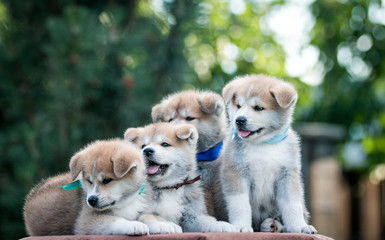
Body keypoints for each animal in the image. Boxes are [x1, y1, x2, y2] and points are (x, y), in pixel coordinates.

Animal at [24, 140, 178, 235]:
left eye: (107, 180)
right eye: (89, 181)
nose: (91, 200)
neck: (125, 203)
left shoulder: (143, 208)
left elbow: (147, 215)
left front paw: (165, 225)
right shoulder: (86, 221)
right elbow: (114, 220)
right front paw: (132, 225)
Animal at [220, 74, 316, 233]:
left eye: (259, 108)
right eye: (238, 106)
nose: (239, 120)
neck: (263, 144)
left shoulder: (287, 175)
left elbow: (293, 206)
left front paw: (299, 226)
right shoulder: (236, 173)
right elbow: (241, 205)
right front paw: (241, 226)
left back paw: (273, 225)